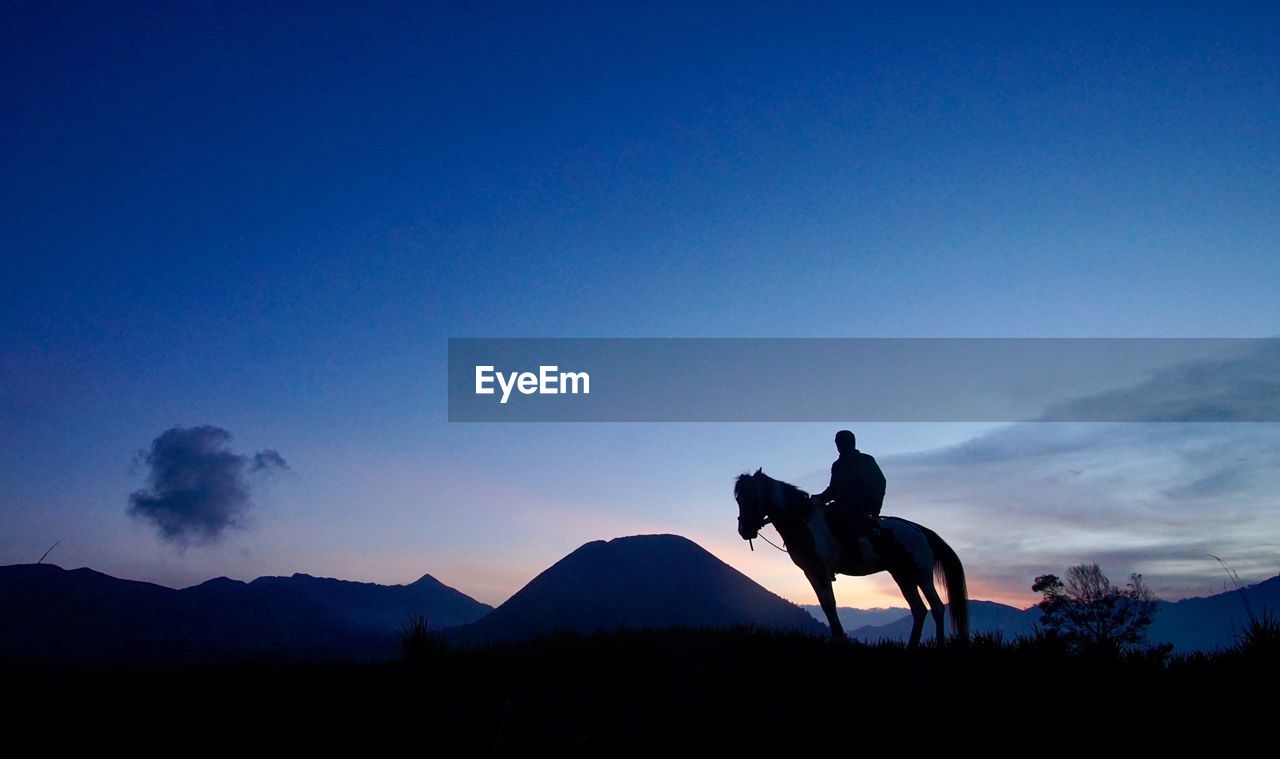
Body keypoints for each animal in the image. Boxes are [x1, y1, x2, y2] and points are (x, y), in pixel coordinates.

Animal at [737, 468, 962, 645]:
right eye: (738, 498)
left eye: (752, 496)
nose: (744, 530)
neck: (804, 522)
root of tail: (921, 531)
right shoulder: (811, 573)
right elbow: (826, 606)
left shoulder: (820, 571)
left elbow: (830, 605)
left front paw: (839, 638)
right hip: (903, 576)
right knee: (919, 610)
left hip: (921, 575)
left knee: (937, 608)